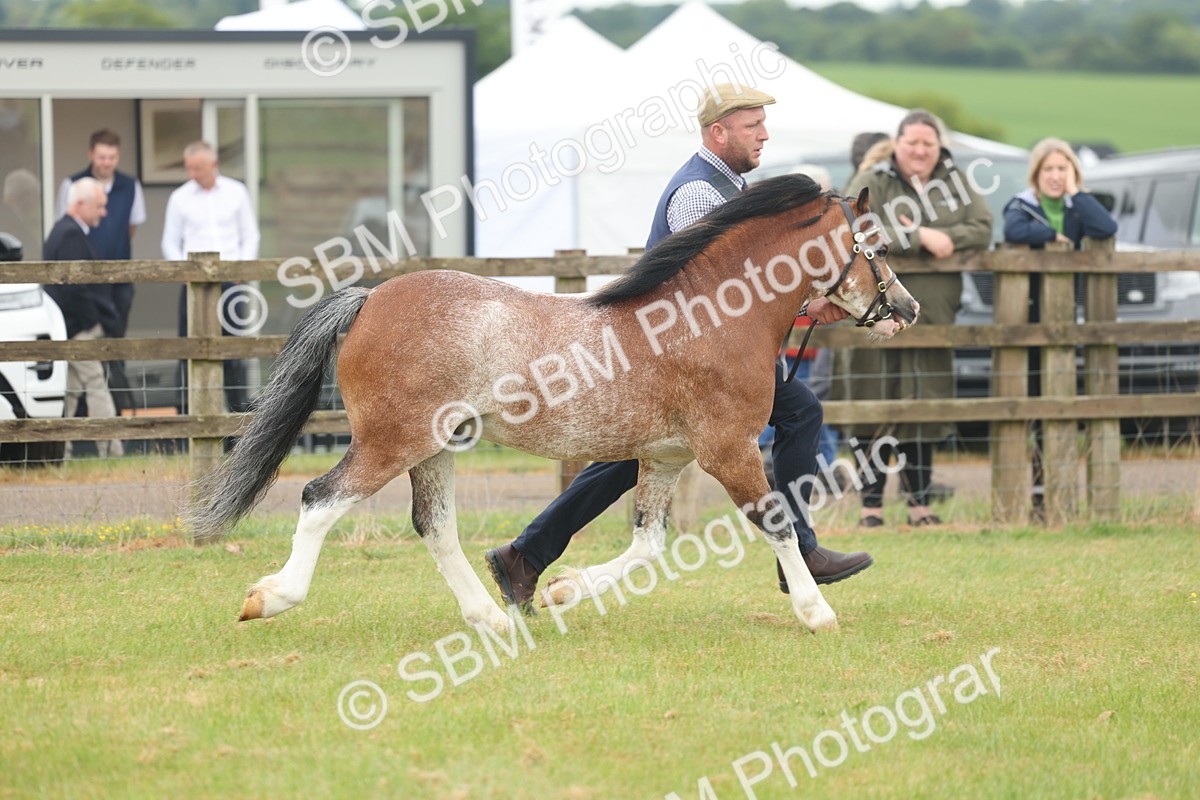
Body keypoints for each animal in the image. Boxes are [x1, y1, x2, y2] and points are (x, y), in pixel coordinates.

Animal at [188, 174, 919, 635]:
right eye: (879, 247)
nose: (906, 309)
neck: (711, 315)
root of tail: (370, 299)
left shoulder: (664, 458)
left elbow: (648, 545)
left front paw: (566, 588)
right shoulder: (729, 451)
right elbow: (778, 522)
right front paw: (817, 613)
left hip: (436, 445)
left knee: (435, 526)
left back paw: (490, 616)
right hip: (390, 442)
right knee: (321, 500)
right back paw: (270, 598)